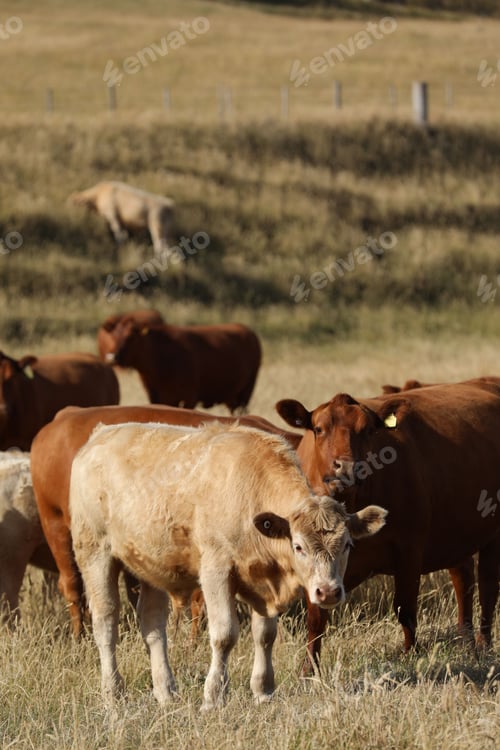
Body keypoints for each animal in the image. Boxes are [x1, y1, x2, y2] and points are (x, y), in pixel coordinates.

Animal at [69, 421, 387, 708]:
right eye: (298, 547)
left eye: (347, 545)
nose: (328, 592)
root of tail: (100, 435)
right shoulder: (216, 571)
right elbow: (224, 635)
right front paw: (214, 695)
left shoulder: (264, 581)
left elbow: (265, 635)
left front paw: (263, 690)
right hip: (95, 553)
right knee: (106, 621)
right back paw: (113, 692)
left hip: (151, 565)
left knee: (152, 624)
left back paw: (166, 692)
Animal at [105, 320, 262, 413]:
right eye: (113, 336)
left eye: (130, 338)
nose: (111, 357)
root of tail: (246, 330)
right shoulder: (156, 397)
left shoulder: (189, 398)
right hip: (231, 396)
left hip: (247, 391)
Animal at [276, 381, 500, 665]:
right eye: (318, 429)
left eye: (368, 430)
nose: (346, 467)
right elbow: (316, 618)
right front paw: (310, 669)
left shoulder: (410, 550)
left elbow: (405, 609)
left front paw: (410, 656)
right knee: (464, 580)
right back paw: (465, 641)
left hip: (492, 535)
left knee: (488, 588)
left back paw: (484, 646)